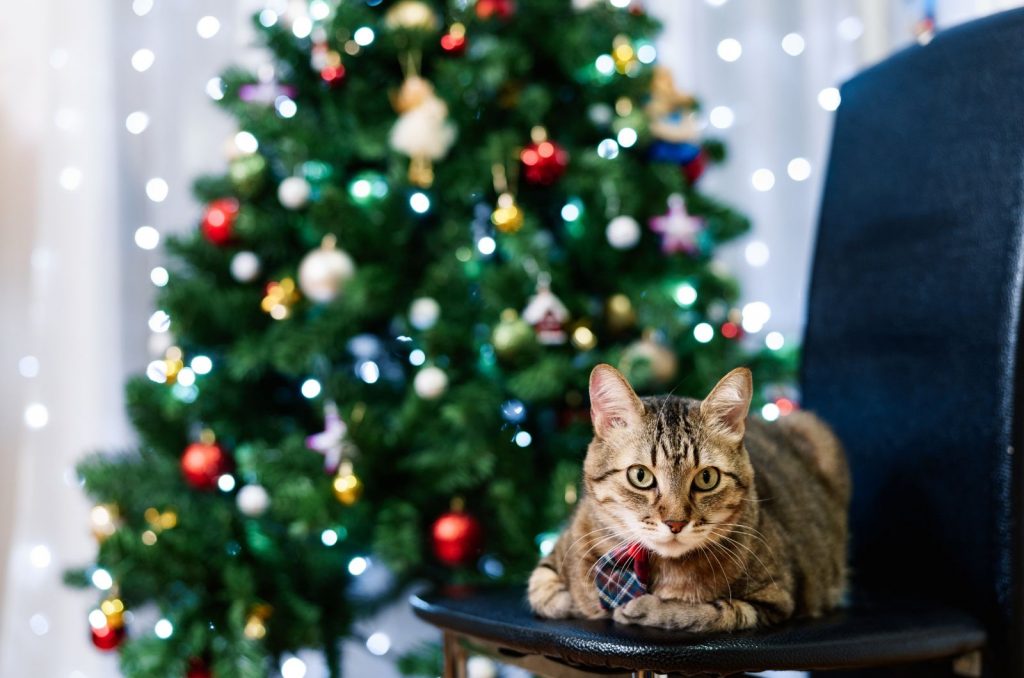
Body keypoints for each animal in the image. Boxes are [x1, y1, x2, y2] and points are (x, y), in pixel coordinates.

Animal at [528, 366, 847, 630]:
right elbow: (543, 590)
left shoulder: (775, 598)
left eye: (707, 478)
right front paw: (582, 601)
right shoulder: (557, 552)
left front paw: (644, 608)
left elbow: (710, 612)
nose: (676, 523)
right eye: (640, 476)